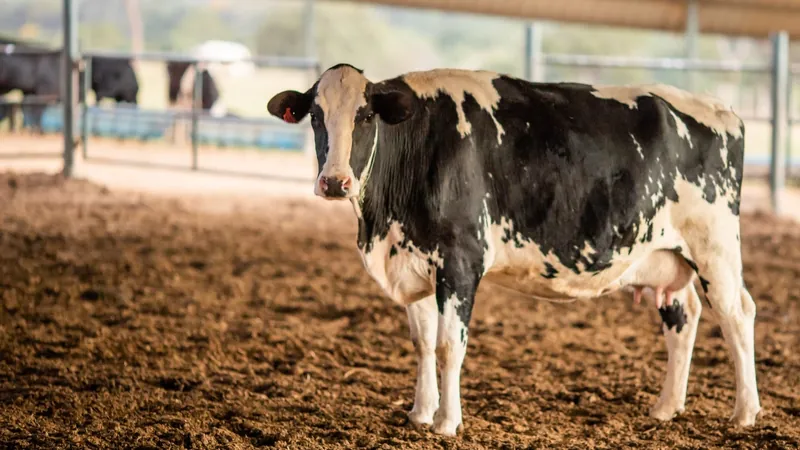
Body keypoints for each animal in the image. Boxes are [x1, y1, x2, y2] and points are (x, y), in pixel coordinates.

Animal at [266, 63, 760, 436]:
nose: (335, 182)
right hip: (665, 254)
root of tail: (722, 109)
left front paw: (447, 422)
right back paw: (666, 407)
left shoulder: (460, 262)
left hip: (715, 245)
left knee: (737, 314)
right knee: (685, 315)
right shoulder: (413, 261)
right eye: (315, 117)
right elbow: (422, 342)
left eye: (366, 116)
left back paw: (745, 412)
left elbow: (449, 345)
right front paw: (420, 414)